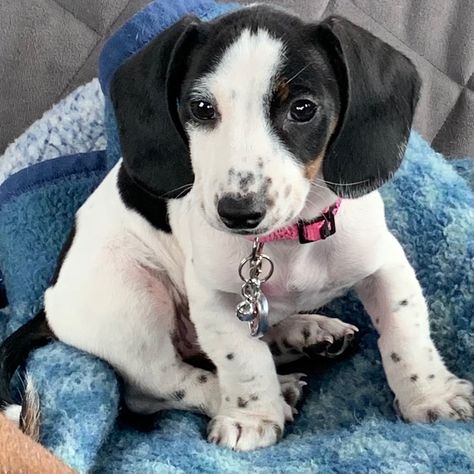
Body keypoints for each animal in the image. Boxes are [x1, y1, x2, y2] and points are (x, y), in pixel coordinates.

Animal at [1, 4, 472, 452]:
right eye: (201, 108)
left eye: (302, 109)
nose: (238, 212)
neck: (287, 240)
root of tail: (49, 305)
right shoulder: (213, 298)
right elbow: (242, 362)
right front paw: (253, 417)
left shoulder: (384, 263)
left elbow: (406, 336)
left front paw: (431, 397)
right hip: (132, 294)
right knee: (161, 383)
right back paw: (270, 387)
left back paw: (307, 333)